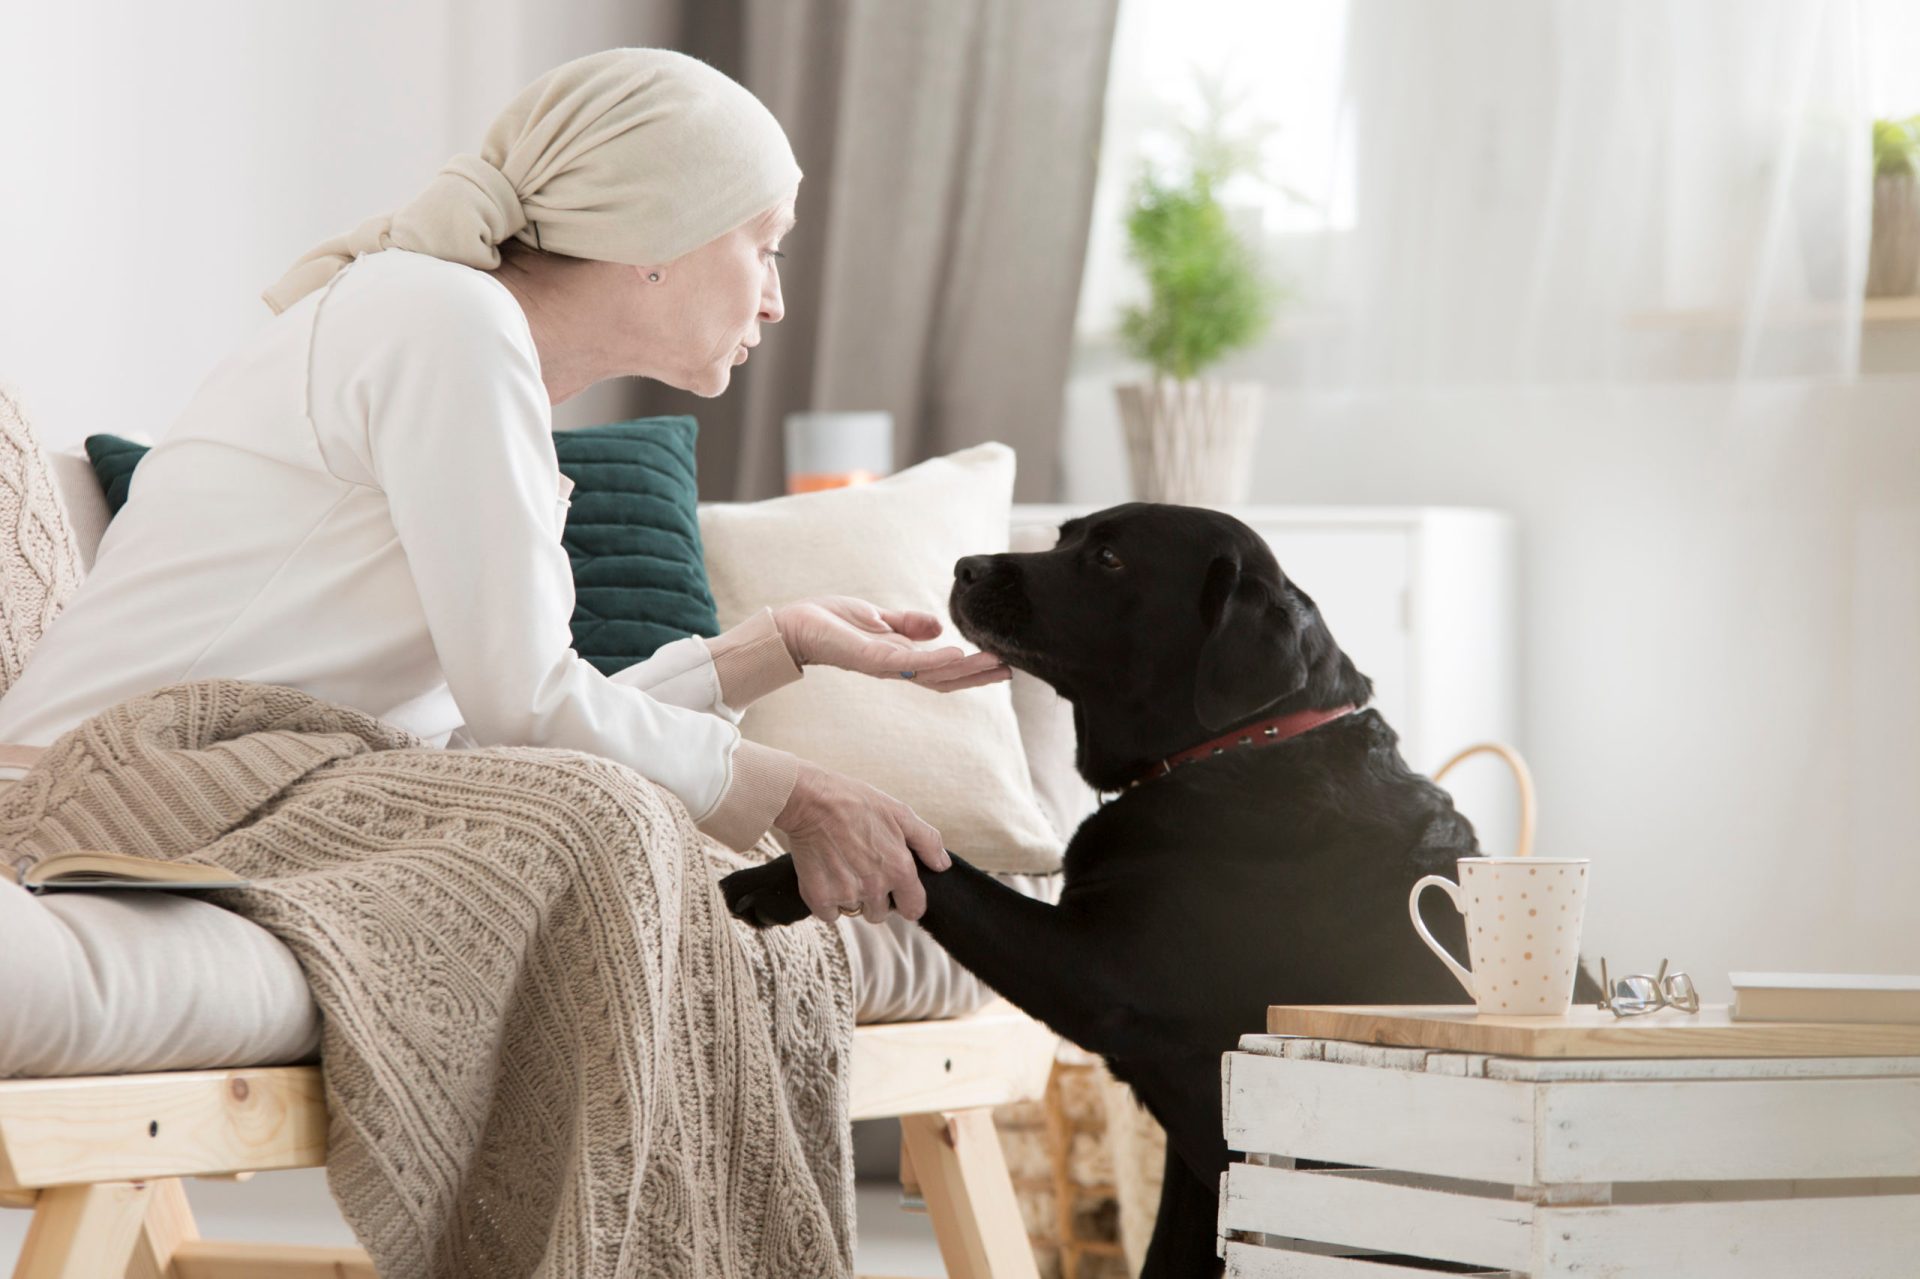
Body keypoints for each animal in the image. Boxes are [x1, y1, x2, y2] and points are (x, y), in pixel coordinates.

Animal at [721, 503, 1528, 1267]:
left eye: (1109, 558)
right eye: (1063, 536)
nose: (964, 566)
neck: (1236, 746)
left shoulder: (1096, 976)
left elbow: (937, 858)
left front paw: (785, 872)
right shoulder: (1204, 1175)